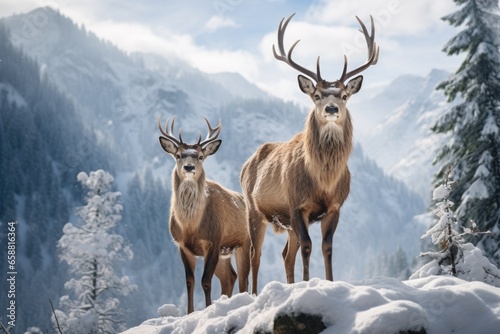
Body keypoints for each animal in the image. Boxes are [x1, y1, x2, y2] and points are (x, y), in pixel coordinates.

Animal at [158, 117, 250, 314]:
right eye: (178, 155)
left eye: (200, 156)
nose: (189, 167)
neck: (190, 227)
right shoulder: (182, 245)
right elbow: (189, 281)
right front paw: (190, 312)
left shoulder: (213, 240)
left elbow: (206, 282)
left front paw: (207, 308)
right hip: (224, 253)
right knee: (230, 277)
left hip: (244, 243)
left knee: (244, 278)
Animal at [240, 14, 376, 294]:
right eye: (316, 95)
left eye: (344, 95)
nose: (332, 108)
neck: (323, 181)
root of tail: (245, 165)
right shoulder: (297, 204)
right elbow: (307, 247)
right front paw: (307, 284)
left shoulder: (335, 207)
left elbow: (327, 247)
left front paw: (330, 283)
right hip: (253, 209)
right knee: (255, 254)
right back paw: (254, 293)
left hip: (285, 222)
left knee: (285, 254)